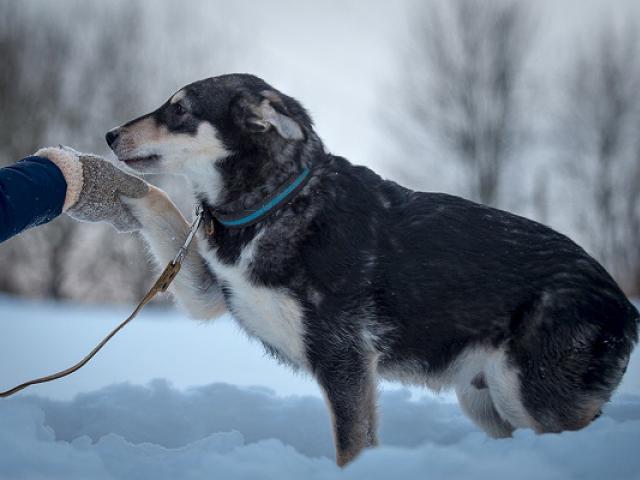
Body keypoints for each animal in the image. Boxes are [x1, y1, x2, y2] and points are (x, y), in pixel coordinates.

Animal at [107, 73, 636, 466]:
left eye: (179, 109)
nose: (109, 136)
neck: (277, 202)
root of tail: (625, 308)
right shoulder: (212, 292)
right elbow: (158, 203)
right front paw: (106, 182)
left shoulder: (344, 360)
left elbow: (352, 449)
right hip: (486, 400)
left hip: (525, 395)